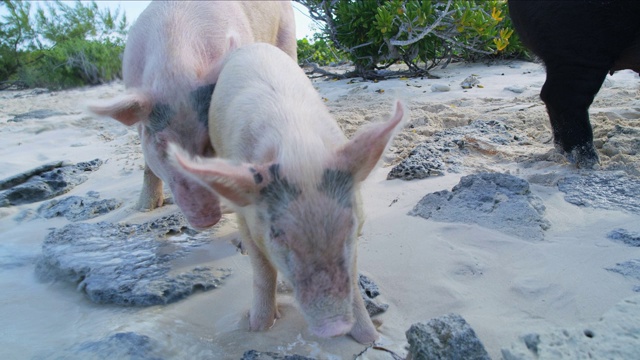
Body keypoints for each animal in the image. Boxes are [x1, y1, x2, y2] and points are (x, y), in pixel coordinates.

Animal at [88, 0, 298, 228]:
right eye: (162, 143)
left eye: (208, 141)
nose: (206, 219)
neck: (174, 65)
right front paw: (144, 208)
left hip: (287, 34)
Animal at [168, 43, 402, 344]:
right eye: (277, 234)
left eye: (349, 224)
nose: (334, 328)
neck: (296, 147)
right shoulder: (247, 215)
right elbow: (263, 272)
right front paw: (257, 328)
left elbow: (352, 274)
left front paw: (371, 338)